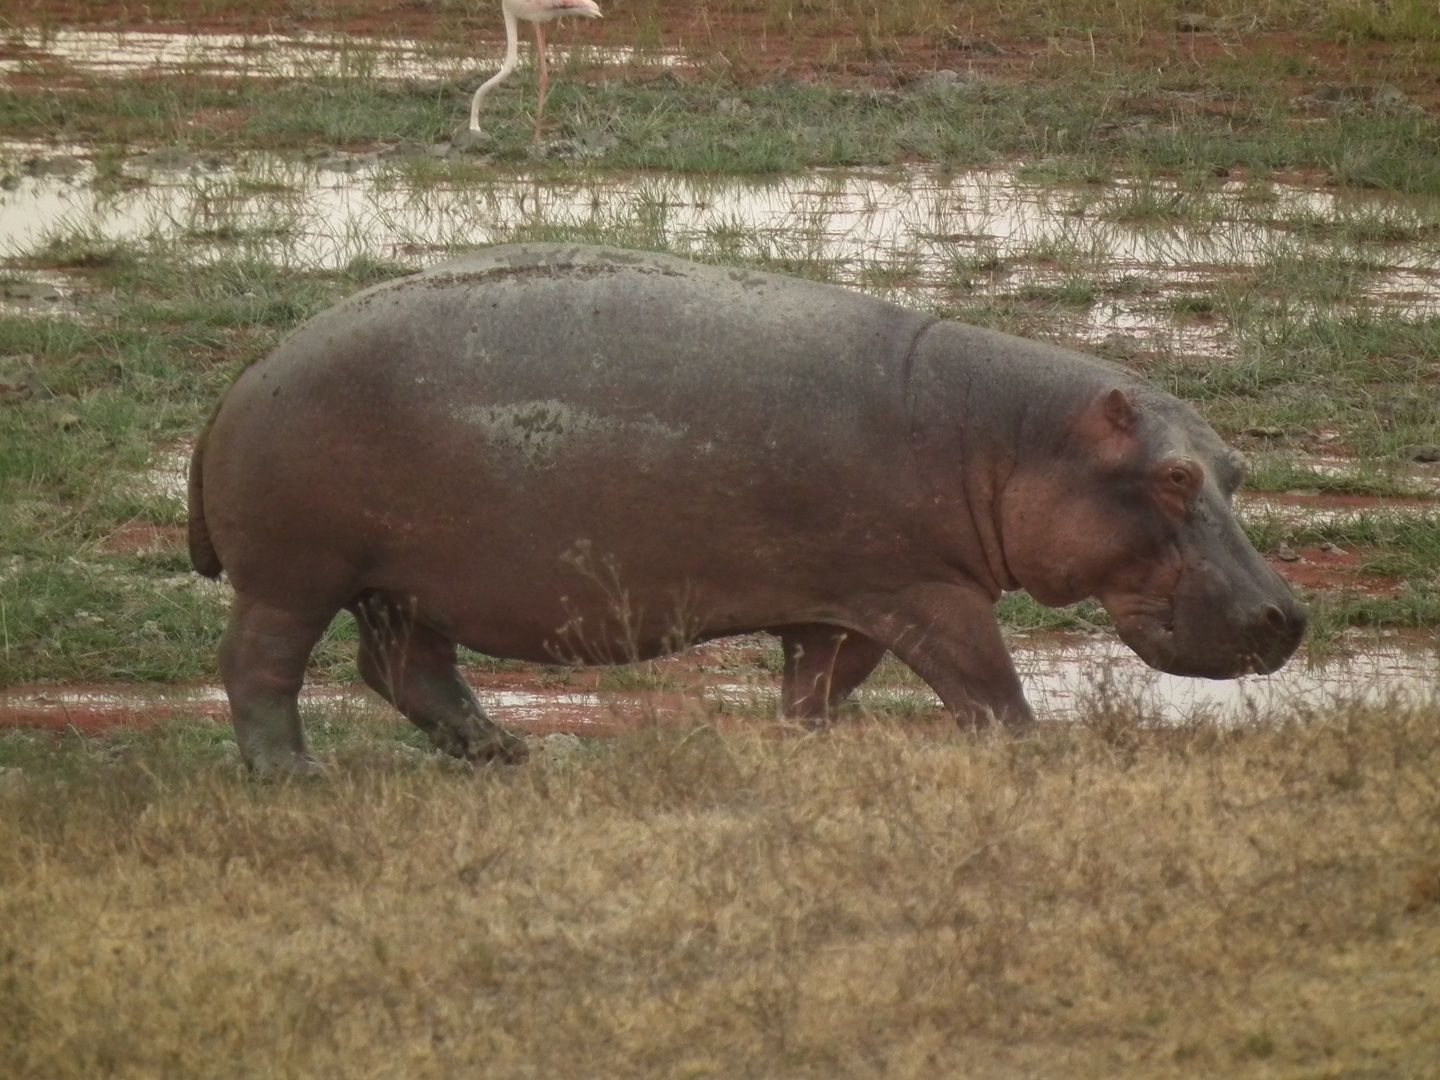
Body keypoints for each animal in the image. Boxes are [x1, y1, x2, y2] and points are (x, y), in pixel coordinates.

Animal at [188, 243, 1305, 775]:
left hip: (402, 584)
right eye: (1172, 478)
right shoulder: (924, 587)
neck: (1009, 436)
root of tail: (247, 377)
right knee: (262, 669)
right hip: (298, 575)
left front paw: (796, 754)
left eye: (1235, 465)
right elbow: (987, 683)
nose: (1288, 614)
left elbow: (817, 690)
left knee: (407, 672)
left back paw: (514, 756)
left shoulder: (840, 604)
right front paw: (1037, 755)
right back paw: (295, 778)